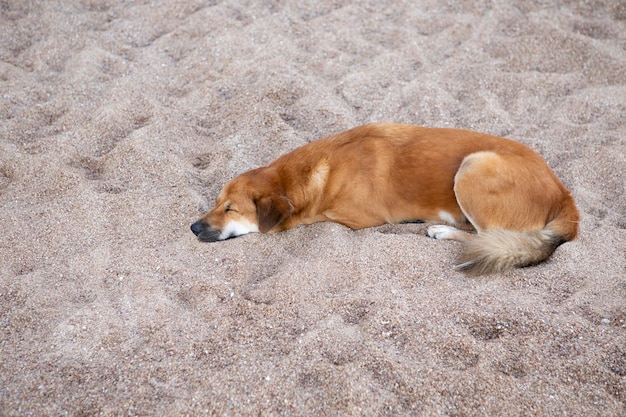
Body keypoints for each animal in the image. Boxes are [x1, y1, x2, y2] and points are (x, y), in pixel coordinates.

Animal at [189, 122, 576, 274]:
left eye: (230, 209)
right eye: (216, 201)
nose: (193, 227)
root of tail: (565, 196)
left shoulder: (346, 218)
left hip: (473, 167)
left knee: (489, 236)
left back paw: (443, 230)